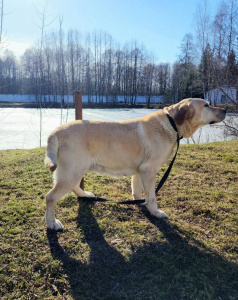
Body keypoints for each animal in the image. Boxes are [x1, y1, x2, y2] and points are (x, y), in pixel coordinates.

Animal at [45, 98, 227, 230]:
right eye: (207, 105)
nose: (225, 110)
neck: (172, 124)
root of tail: (56, 132)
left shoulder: (139, 171)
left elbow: (138, 191)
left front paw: (140, 203)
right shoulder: (149, 170)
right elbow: (152, 196)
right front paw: (155, 212)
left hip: (75, 170)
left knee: (74, 188)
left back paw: (85, 195)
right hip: (73, 171)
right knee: (50, 197)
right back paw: (52, 223)